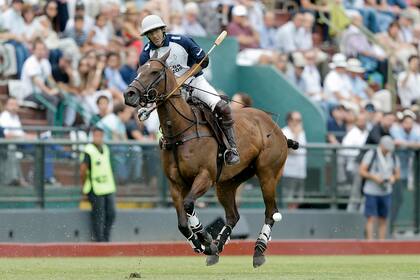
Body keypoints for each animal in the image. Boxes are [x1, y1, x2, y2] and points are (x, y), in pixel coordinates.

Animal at [123, 50, 296, 266]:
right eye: (139, 69)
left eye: (154, 71)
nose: (129, 94)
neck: (180, 131)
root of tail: (279, 131)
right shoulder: (175, 184)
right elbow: (182, 222)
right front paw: (203, 244)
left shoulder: (205, 176)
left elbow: (189, 204)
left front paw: (204, 238)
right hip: (227, 182)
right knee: (233, 215)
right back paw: (216, 249)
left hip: (268, 174)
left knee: (270, 212)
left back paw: (258, 251)